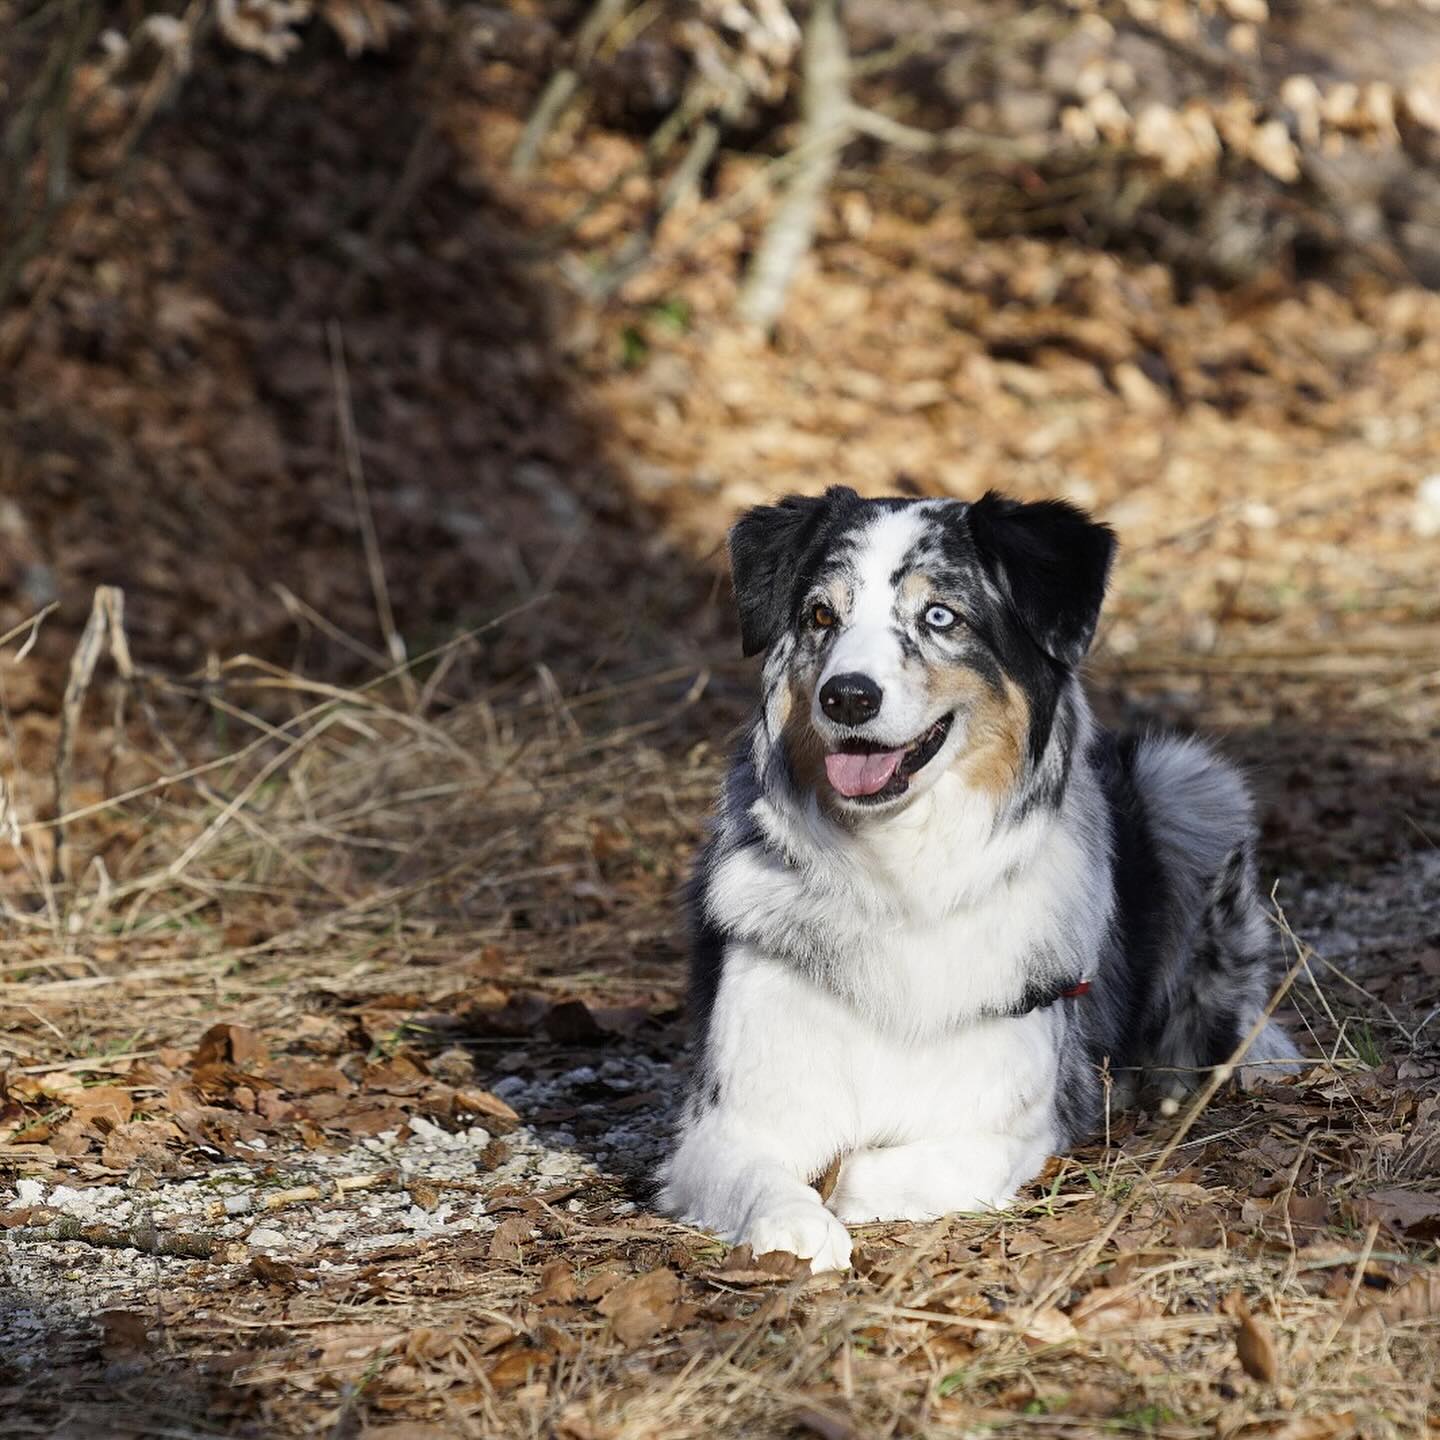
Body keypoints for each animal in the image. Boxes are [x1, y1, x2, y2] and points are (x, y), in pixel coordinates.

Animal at [659, 486, 1301, 1272]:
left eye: (940, 616)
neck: (898, 874)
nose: (847, 697)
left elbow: (871, 1166)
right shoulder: (722, 1126)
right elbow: (764, 1176)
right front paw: (796, 1227)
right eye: (821, 616)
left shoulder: (1020, 1119)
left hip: (1189, 782)